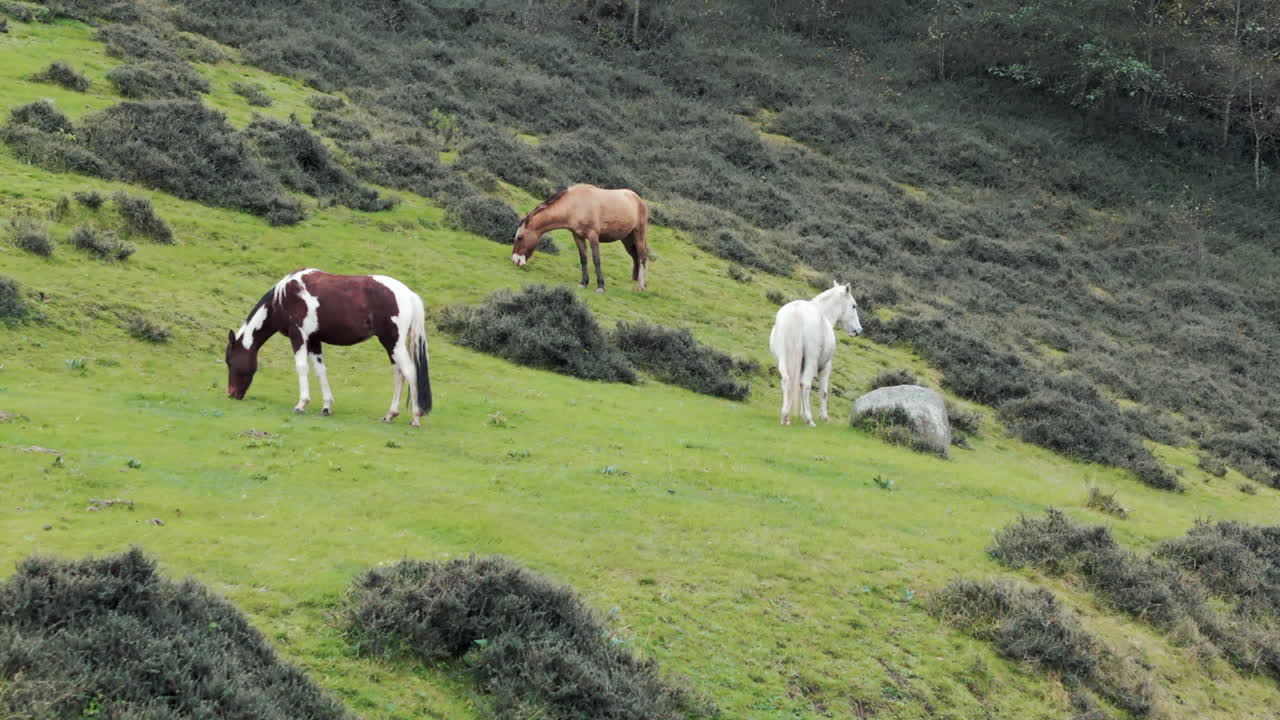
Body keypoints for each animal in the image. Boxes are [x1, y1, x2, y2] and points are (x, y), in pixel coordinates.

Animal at [224, 268, 432, 426]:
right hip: (391, 345)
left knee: (410, 372)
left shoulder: (299, 336)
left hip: (392, 342)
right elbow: (320, 370)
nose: (231, 394)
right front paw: (326, 406)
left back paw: (415, 417)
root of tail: (409, 294)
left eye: (229, 362)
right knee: (399, 374)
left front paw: (301, 404)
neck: (282, 298)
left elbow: (302, 367)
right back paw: (390, 414)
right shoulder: (314, 340)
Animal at [511, 183, 649, 292]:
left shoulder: (593, 236)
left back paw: (640, 286)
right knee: (635, 257)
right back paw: (637, 280)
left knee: (642, 257)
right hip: (627, 239)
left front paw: (600, 286)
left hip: (639, 235)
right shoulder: (578, 236)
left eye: (520, 237)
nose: (515, 260)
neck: (575, 205)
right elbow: (583, 259)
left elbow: (596, 260)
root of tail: (638, 199)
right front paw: (583, 283)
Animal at [769, 281, 862, 427]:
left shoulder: (801, 366)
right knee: (805, 385)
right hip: (811, 361)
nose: (858, 330)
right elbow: (823, 392)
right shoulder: (825, 367)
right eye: (854, 306)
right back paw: (809, 420)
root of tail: (796, 313)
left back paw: (785, 416)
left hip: (783, 359)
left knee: (787, 380)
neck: (824, 314)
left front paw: (801, 414)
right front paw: (823, 417)